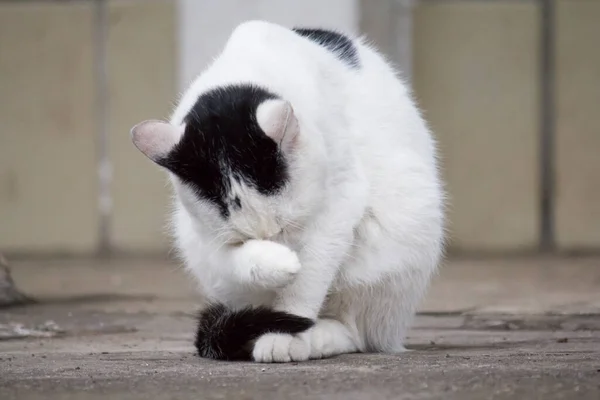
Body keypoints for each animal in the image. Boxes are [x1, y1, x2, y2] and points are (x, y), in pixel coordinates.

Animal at [130, 19, 446, 362]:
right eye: (252, 238)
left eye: (284, 228)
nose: (277, 243)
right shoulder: (207, 241)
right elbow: (237, 261)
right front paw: (279, 265)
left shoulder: (340, 201)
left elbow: (308, 278)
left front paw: (283, 334)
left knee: (357, 332)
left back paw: (313, 336)